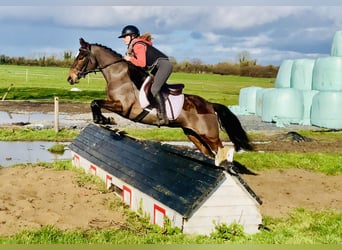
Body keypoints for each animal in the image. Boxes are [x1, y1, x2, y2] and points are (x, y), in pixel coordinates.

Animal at [67, 38, 254, 168]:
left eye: (82, 57)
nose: (70, 78)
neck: (119, 75)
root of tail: (209, 104)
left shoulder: (123, 107)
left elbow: (95, 102)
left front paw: (104, 119)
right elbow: (95, 103)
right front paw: (104, 120)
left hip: (210, 135)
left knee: (221, 149)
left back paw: (227, 165)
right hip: (193, 135)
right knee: (209, 153)